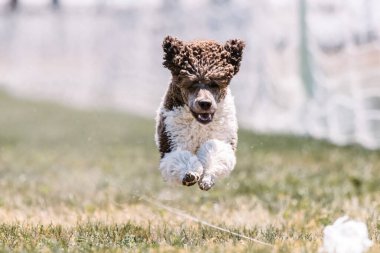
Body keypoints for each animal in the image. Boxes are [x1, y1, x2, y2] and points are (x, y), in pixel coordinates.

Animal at [156, 35, 245, 190]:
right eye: (191, 83)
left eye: (214, 83)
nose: (205, 103)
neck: (199, 125)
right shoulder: (171, 140)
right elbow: (178, 156)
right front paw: (190, 174)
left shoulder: (224, 137)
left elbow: (214, 149)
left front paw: (207, 178)